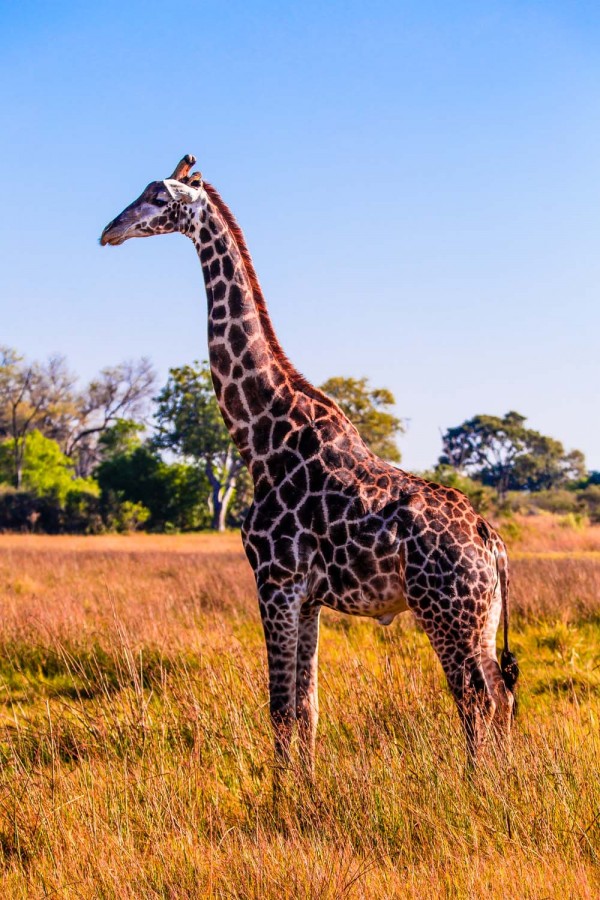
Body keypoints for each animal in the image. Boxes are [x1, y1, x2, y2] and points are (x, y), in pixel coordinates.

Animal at [101, 155, 516, 788]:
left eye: (157, 196)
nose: (110, 231)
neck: (259, 437)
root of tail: (491, 542)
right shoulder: (308, 596)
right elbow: (307, 705)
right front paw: (305, 789)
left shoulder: (274, 581)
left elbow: (279, 706)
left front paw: (279, 797)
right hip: (482, 618)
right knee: (502, 693)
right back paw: (507, 781)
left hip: (447, 612)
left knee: (477, 698)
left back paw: (477, 788)